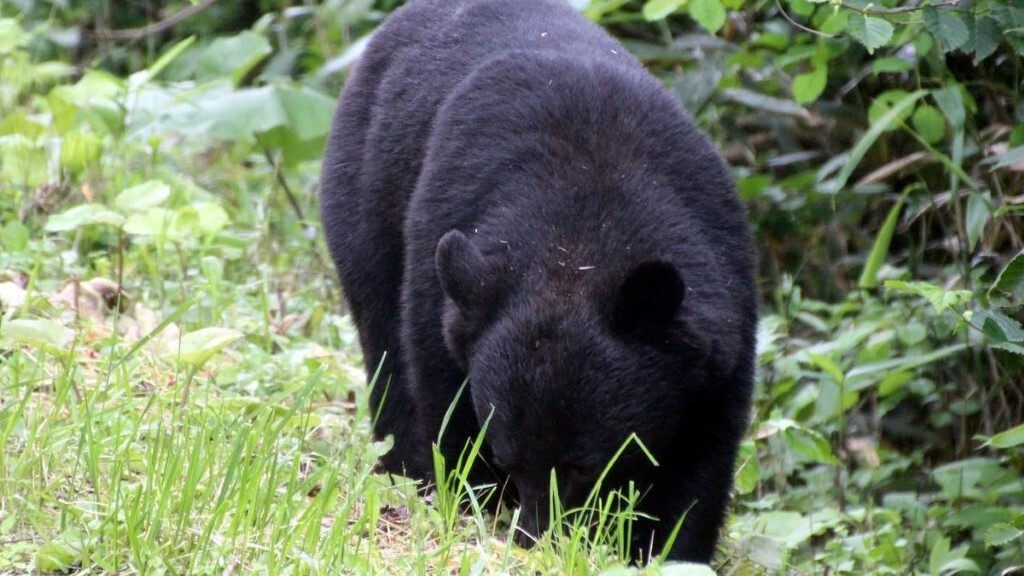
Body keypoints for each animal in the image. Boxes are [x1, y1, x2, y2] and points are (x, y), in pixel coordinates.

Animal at [319, 0, 757, 563]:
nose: (538, 541)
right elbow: (443, 401)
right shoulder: (446, 268)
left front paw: (666, 548)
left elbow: (700, 461)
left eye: (587, 466)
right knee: (384, 345)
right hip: (361, 204)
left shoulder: (717, 321)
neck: (577, 243)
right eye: (507, 459)